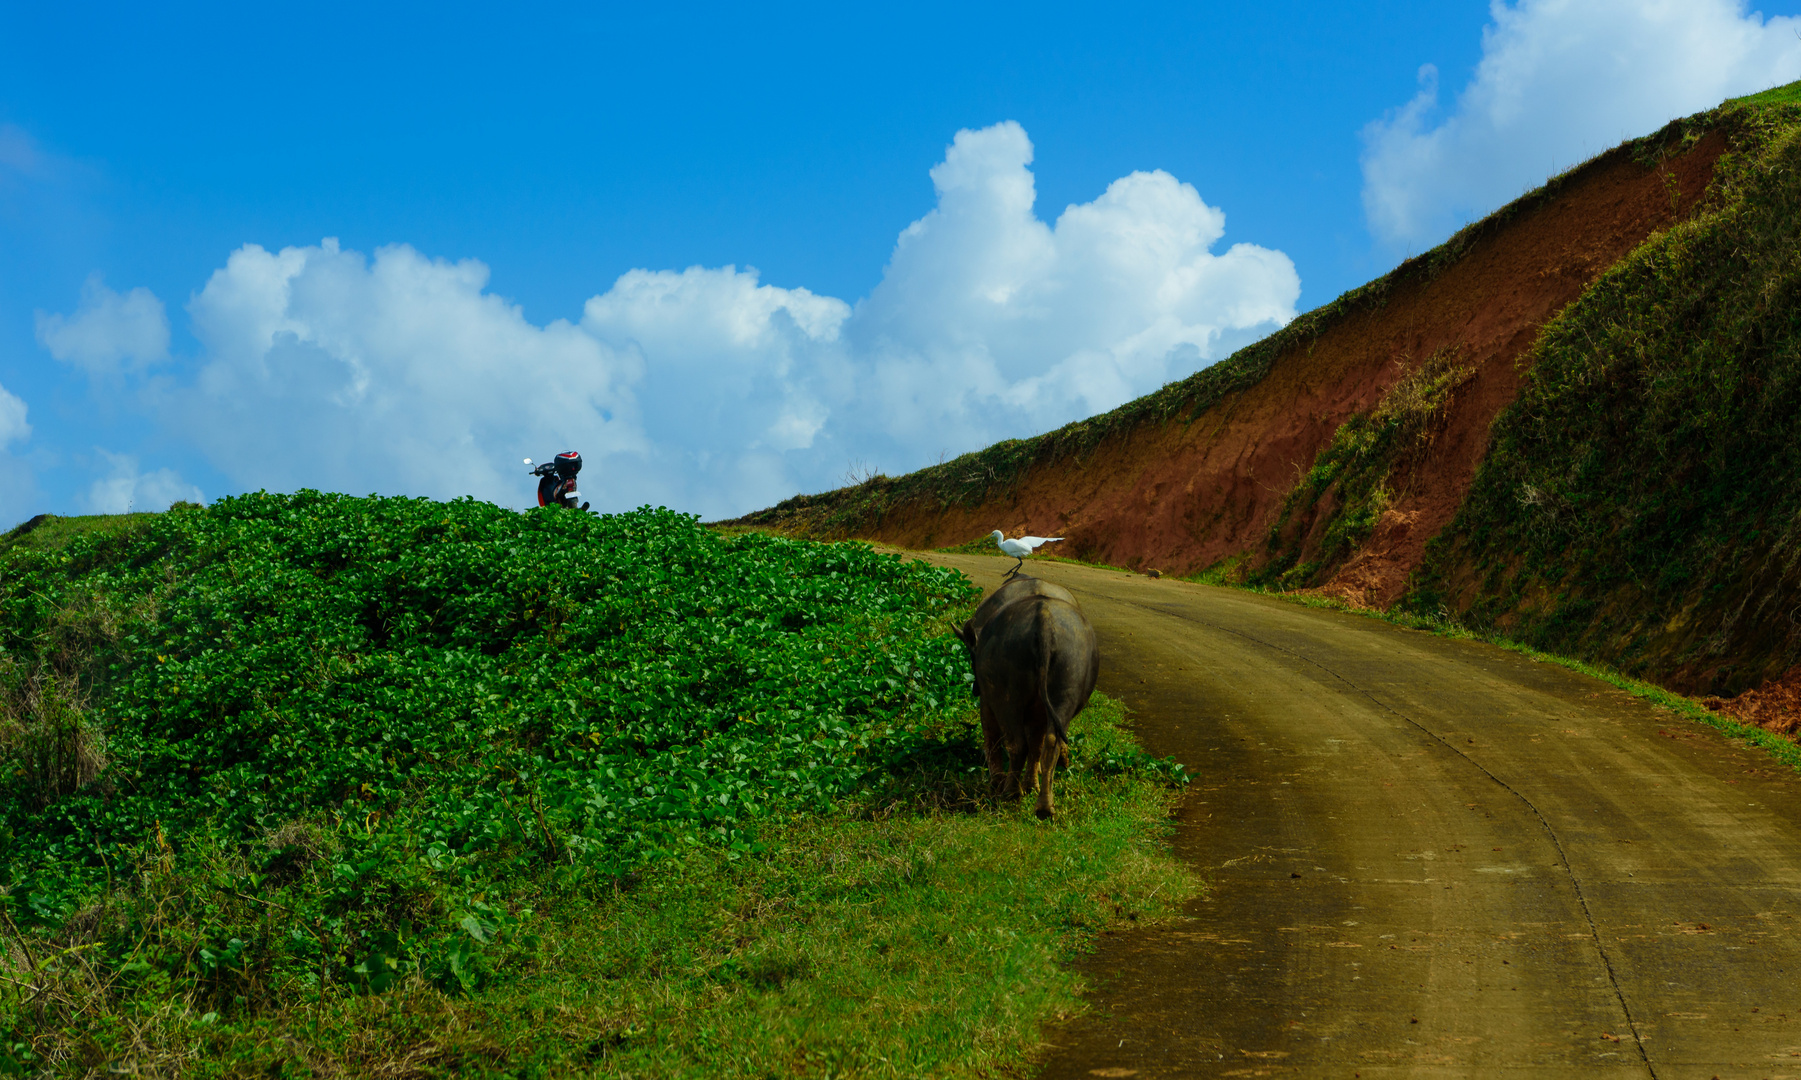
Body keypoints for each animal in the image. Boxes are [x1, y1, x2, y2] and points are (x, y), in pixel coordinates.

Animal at [965, 590, 1087, 817]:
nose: (975, 688)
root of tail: (1045, 623)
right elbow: (1037, 745)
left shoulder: (987, 702)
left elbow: (992, 738)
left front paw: (997, 781)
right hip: (1064, 686)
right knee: (1050, 743)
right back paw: (1044, 804)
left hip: (1008, 696)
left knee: (1016, 743)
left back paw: (1010, 792)